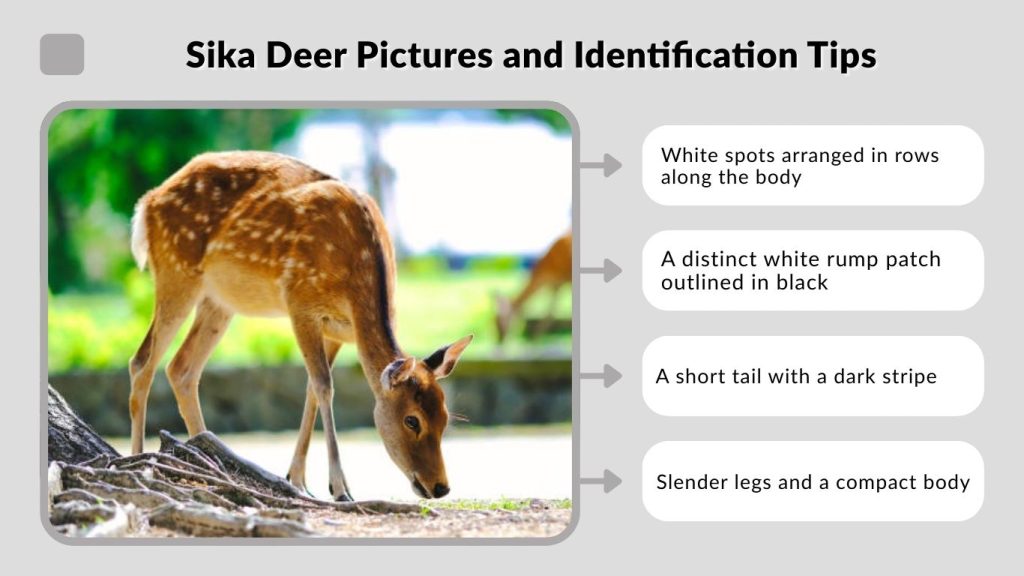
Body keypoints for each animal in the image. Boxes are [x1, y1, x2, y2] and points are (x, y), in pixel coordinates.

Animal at [128, 151, 472, 501]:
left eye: (446, 417)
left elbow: (312, 389)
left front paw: (298, 479)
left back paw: (209, 456)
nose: (440, 487)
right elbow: (324, 386)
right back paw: (138, 457)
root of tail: (147, 203)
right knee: (142, 361)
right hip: (176, 270)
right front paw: (340, 488)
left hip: (218, 302)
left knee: (181, 368)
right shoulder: (300, 303)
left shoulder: (337, 332)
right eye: (412, 420)